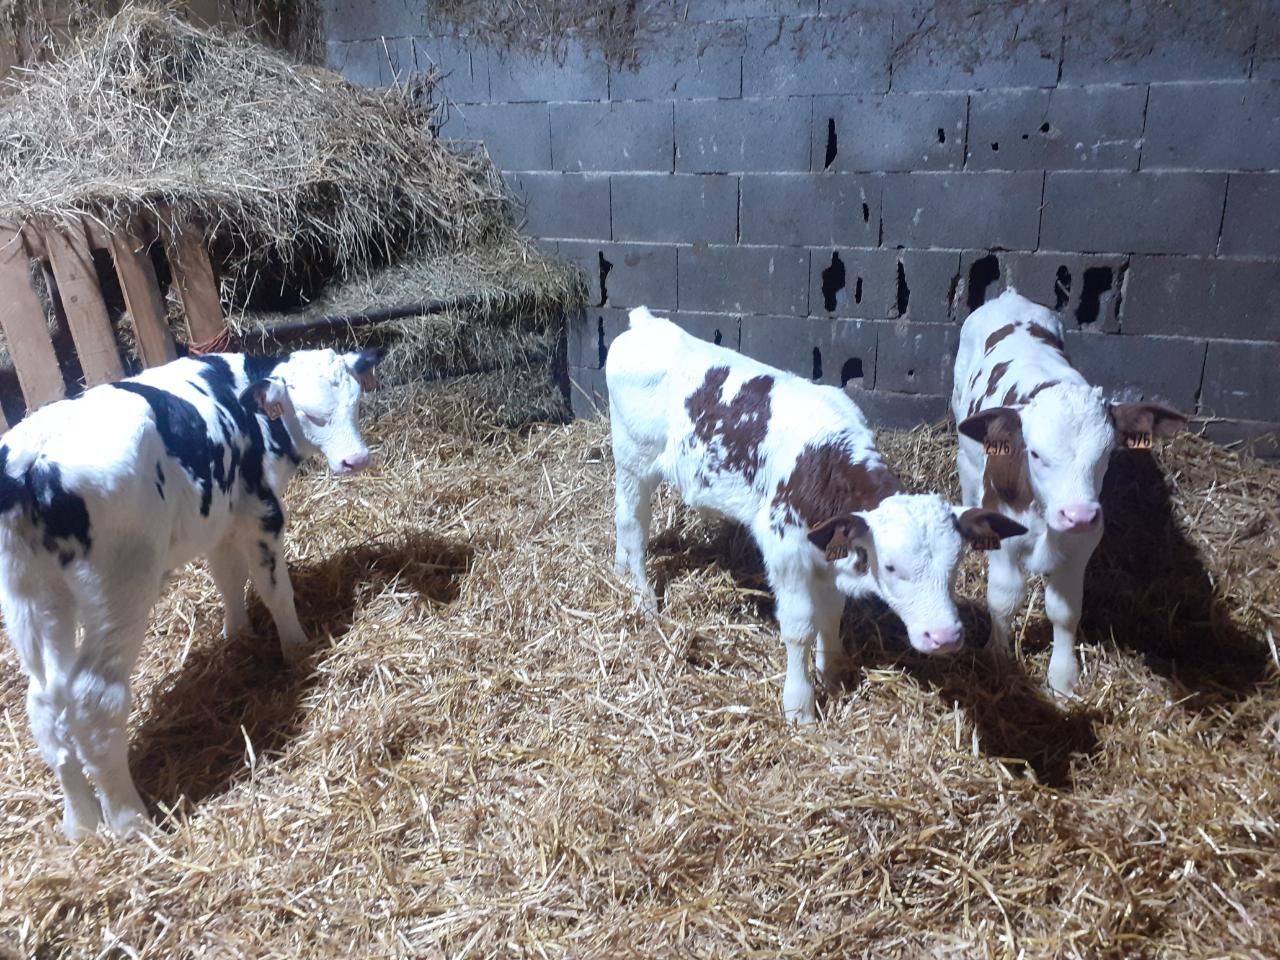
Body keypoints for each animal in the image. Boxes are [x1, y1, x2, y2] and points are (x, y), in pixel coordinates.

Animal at [0, 346, 384, 839]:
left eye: (355, 403)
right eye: (312, 414)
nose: (356, 460)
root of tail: (31, 458)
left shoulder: (221, 518)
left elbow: (227, 576)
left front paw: (237, 635)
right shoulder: (260, 509)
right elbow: (274, 588)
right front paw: (297, 647)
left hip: (30, 596)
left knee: (46, 703)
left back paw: (81, 823)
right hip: (120, 587)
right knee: (93, 698)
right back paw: (128, 822)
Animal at [607, 307, 1026, 723]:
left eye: (956, 563)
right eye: (891, 567)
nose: (945, 637)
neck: (826, 465)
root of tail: (645, 323)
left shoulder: (830, 549)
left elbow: (831, 615)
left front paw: (834, 673)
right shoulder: (785, 551)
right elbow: (800, 627)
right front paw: (800, 705)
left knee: (623, 521)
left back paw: (621, 571)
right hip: (633, 460)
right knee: (633, 524)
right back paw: (643, 597)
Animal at [952, 288, 1186, 696]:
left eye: (1107, 453)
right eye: (1034, 453)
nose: (1078, 514)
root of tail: (1010, 296)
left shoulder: (1083, 540)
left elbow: (1065, 610)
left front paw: (1063, 679)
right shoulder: (1004, 532)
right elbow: (1003, 598)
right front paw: (997, 656)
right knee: (967, 471)